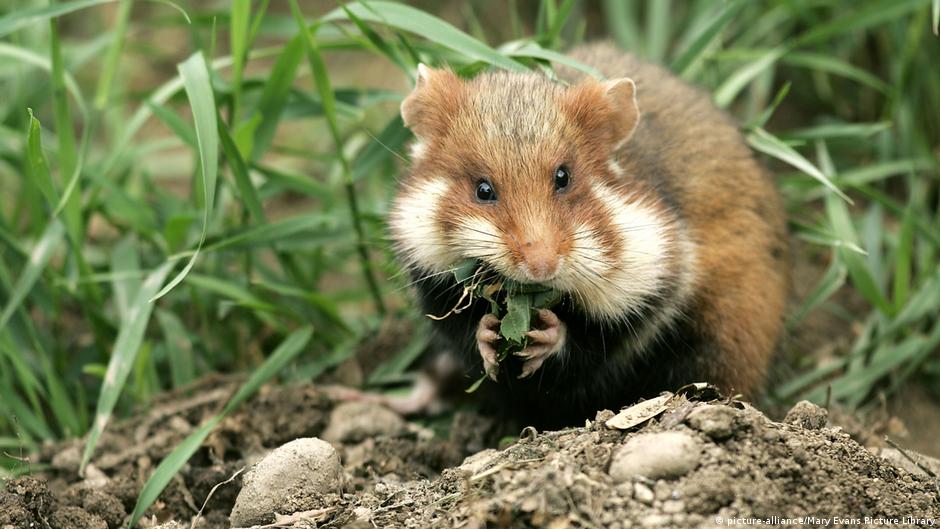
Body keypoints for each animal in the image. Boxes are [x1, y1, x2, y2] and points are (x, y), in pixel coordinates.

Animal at [388, 43, 789, 430]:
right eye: (483, 190)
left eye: (564, 177)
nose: (542, 267)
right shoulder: (431, 278)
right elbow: (465, 331)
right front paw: (488, 333)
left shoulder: (652, 290)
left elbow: (590, 343)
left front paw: (546, 335)